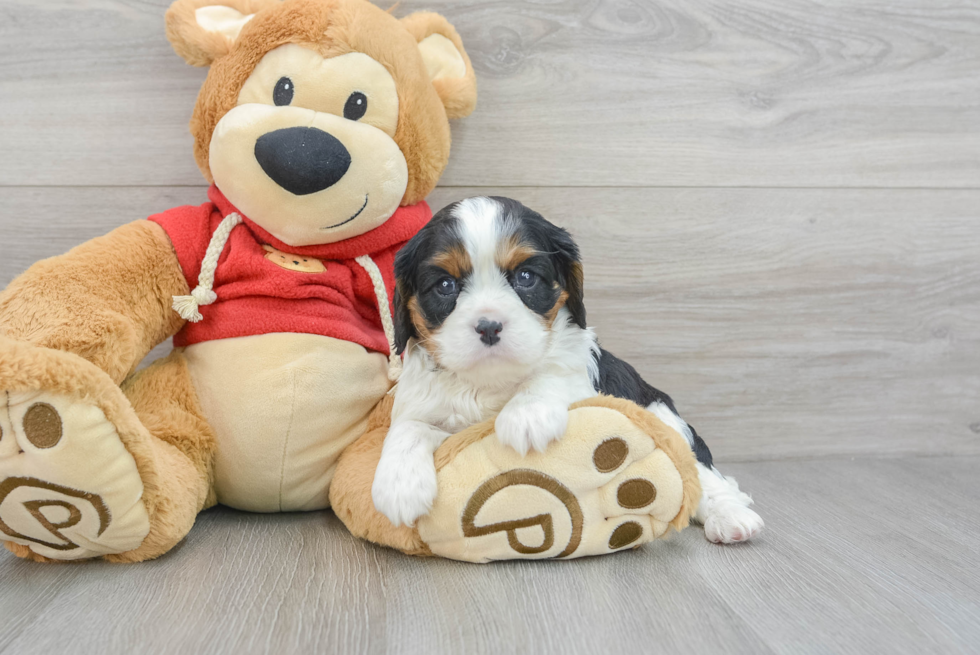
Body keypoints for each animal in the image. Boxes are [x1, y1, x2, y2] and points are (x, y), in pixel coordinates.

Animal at [372, 197, 760, 544]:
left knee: (702, 473)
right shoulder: (426, 405)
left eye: (526, 276)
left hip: (664, 414)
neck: (490, 382)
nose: (489, 326)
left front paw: (526, 417)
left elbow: (553, 373)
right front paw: (398, 484)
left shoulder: (581, 369)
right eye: (445, 285)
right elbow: (409, 427)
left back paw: (731, 516)